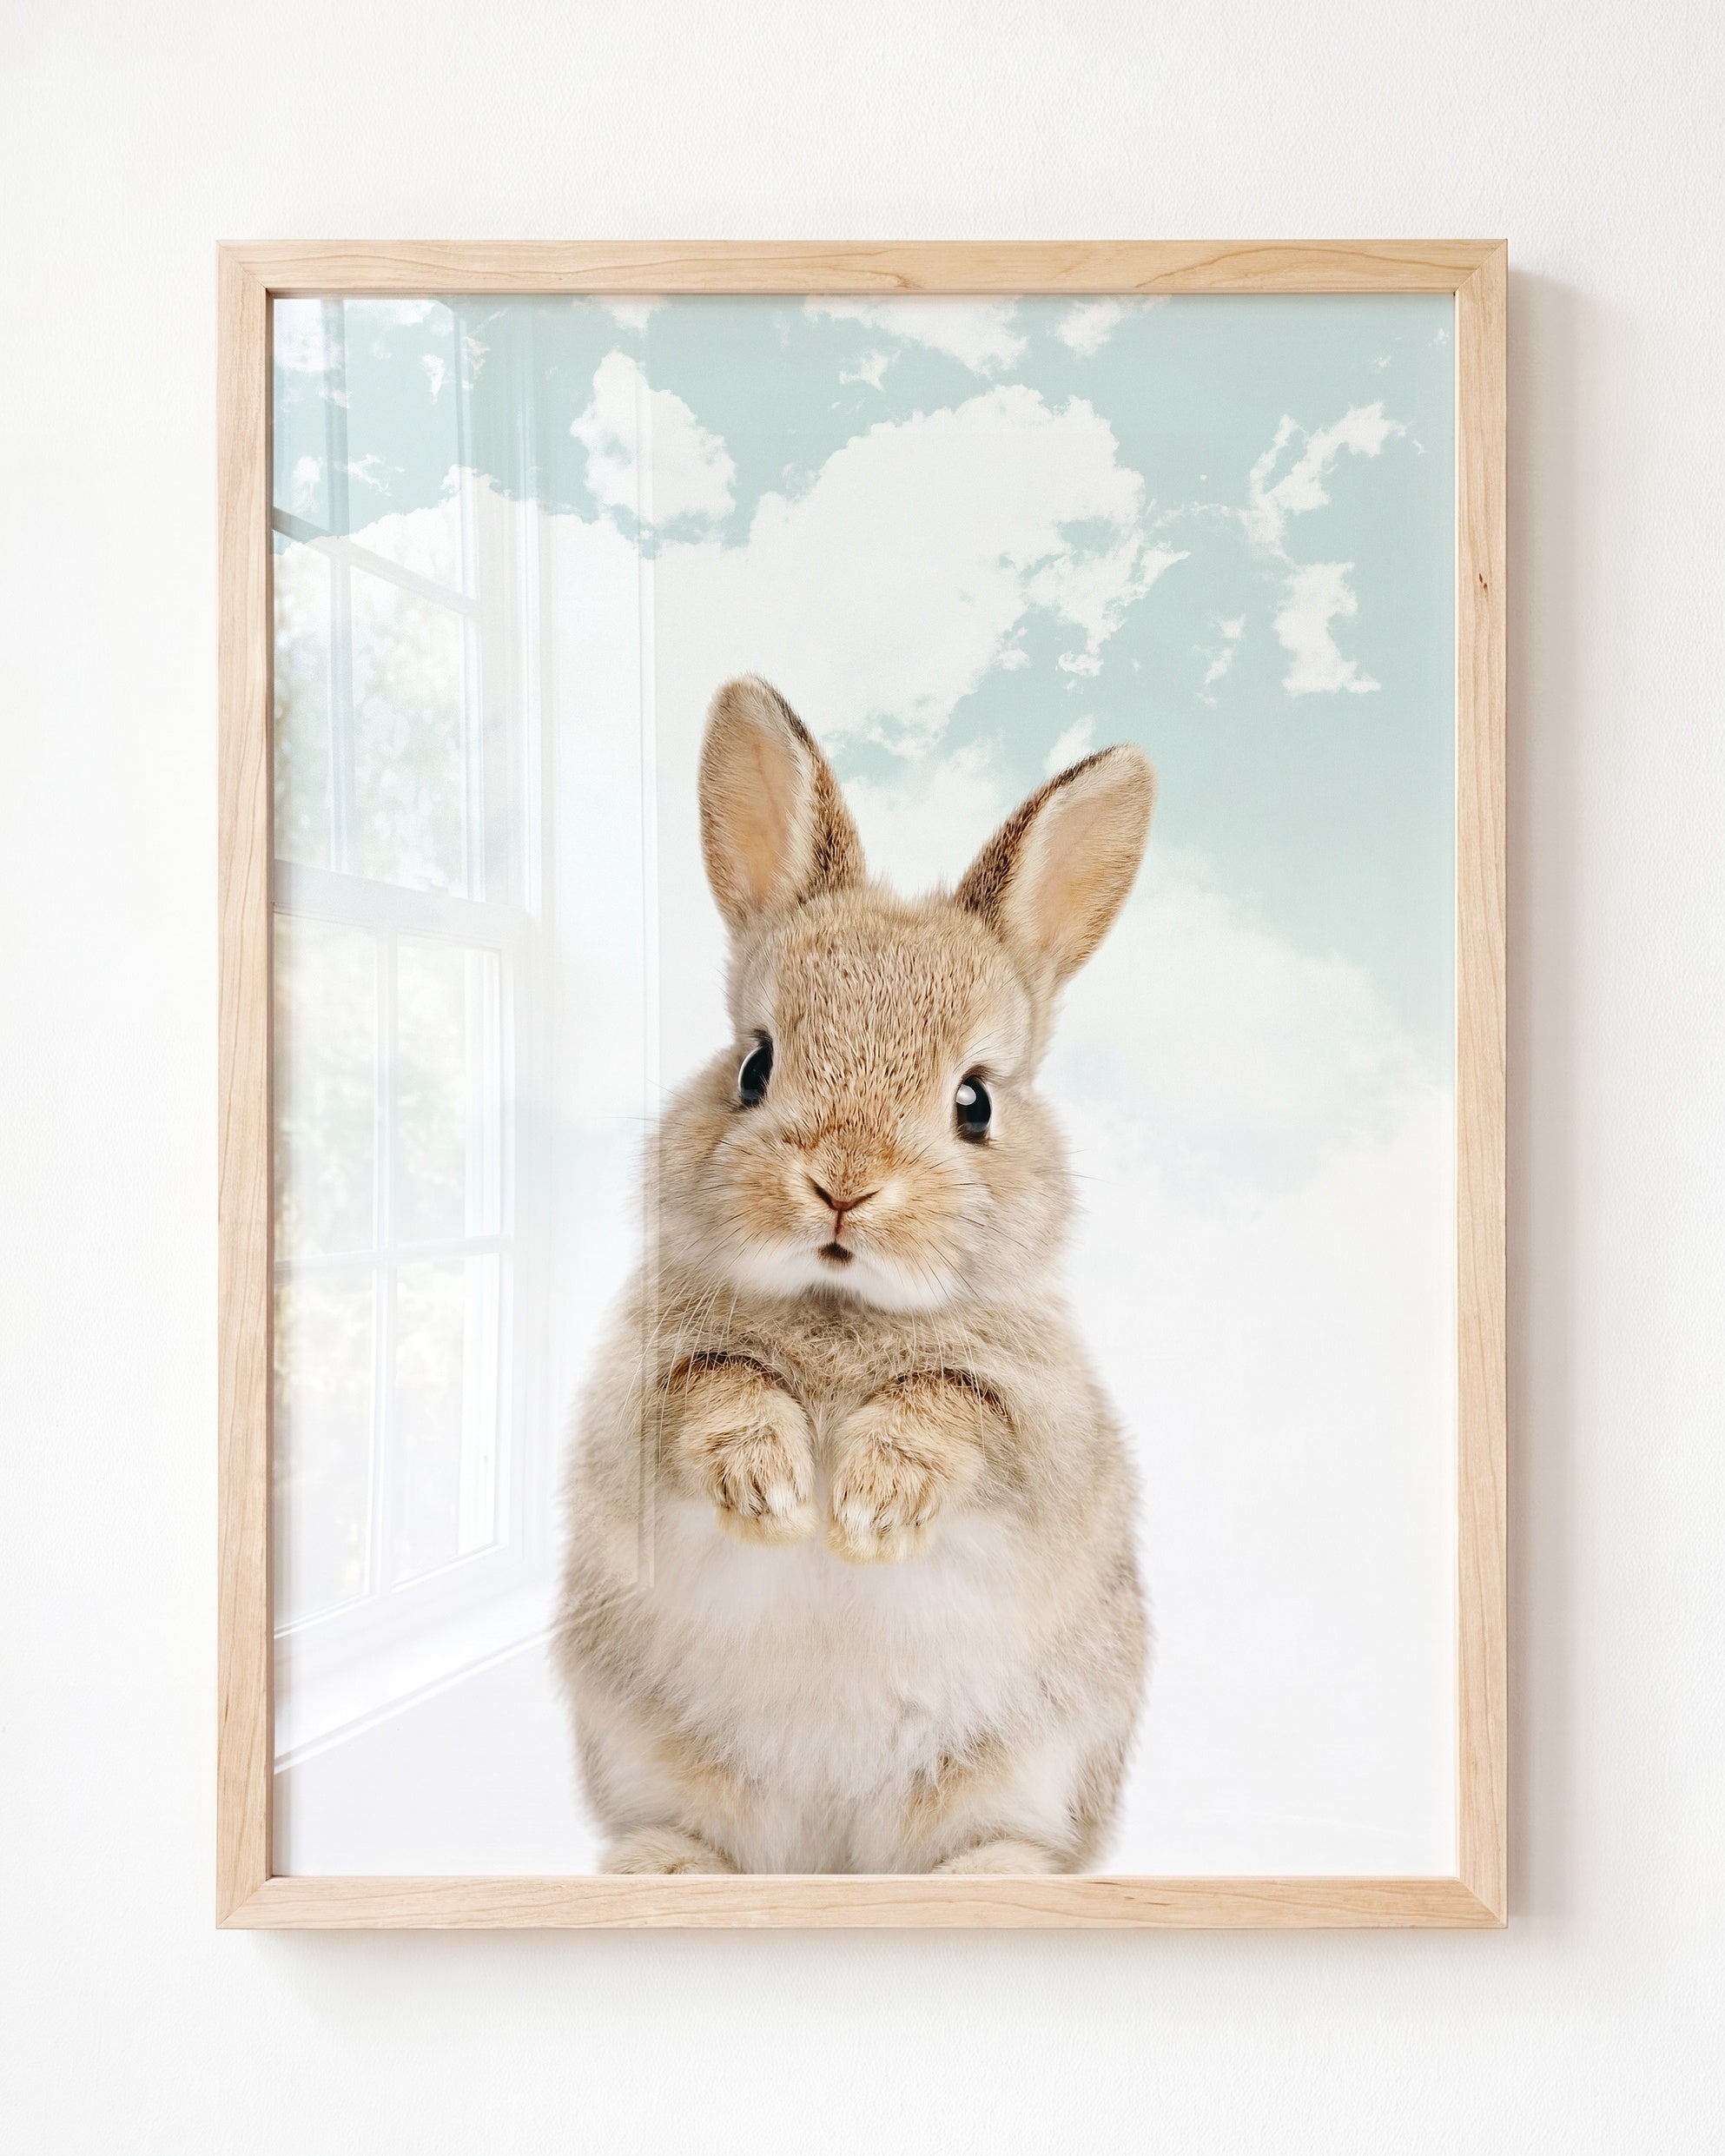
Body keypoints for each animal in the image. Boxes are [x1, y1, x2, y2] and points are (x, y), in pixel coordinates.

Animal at [554, 675, 1154, 1875]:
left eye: (975, 1100)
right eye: (754, 1064)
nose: (843, 1185)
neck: (842, 1307)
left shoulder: (1042, 1429)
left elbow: (950, 1408)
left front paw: (869, 1507)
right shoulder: (637, 1398)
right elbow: (717, 1388)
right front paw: (777, 1493)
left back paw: (995, 1883)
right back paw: (665, 1869)